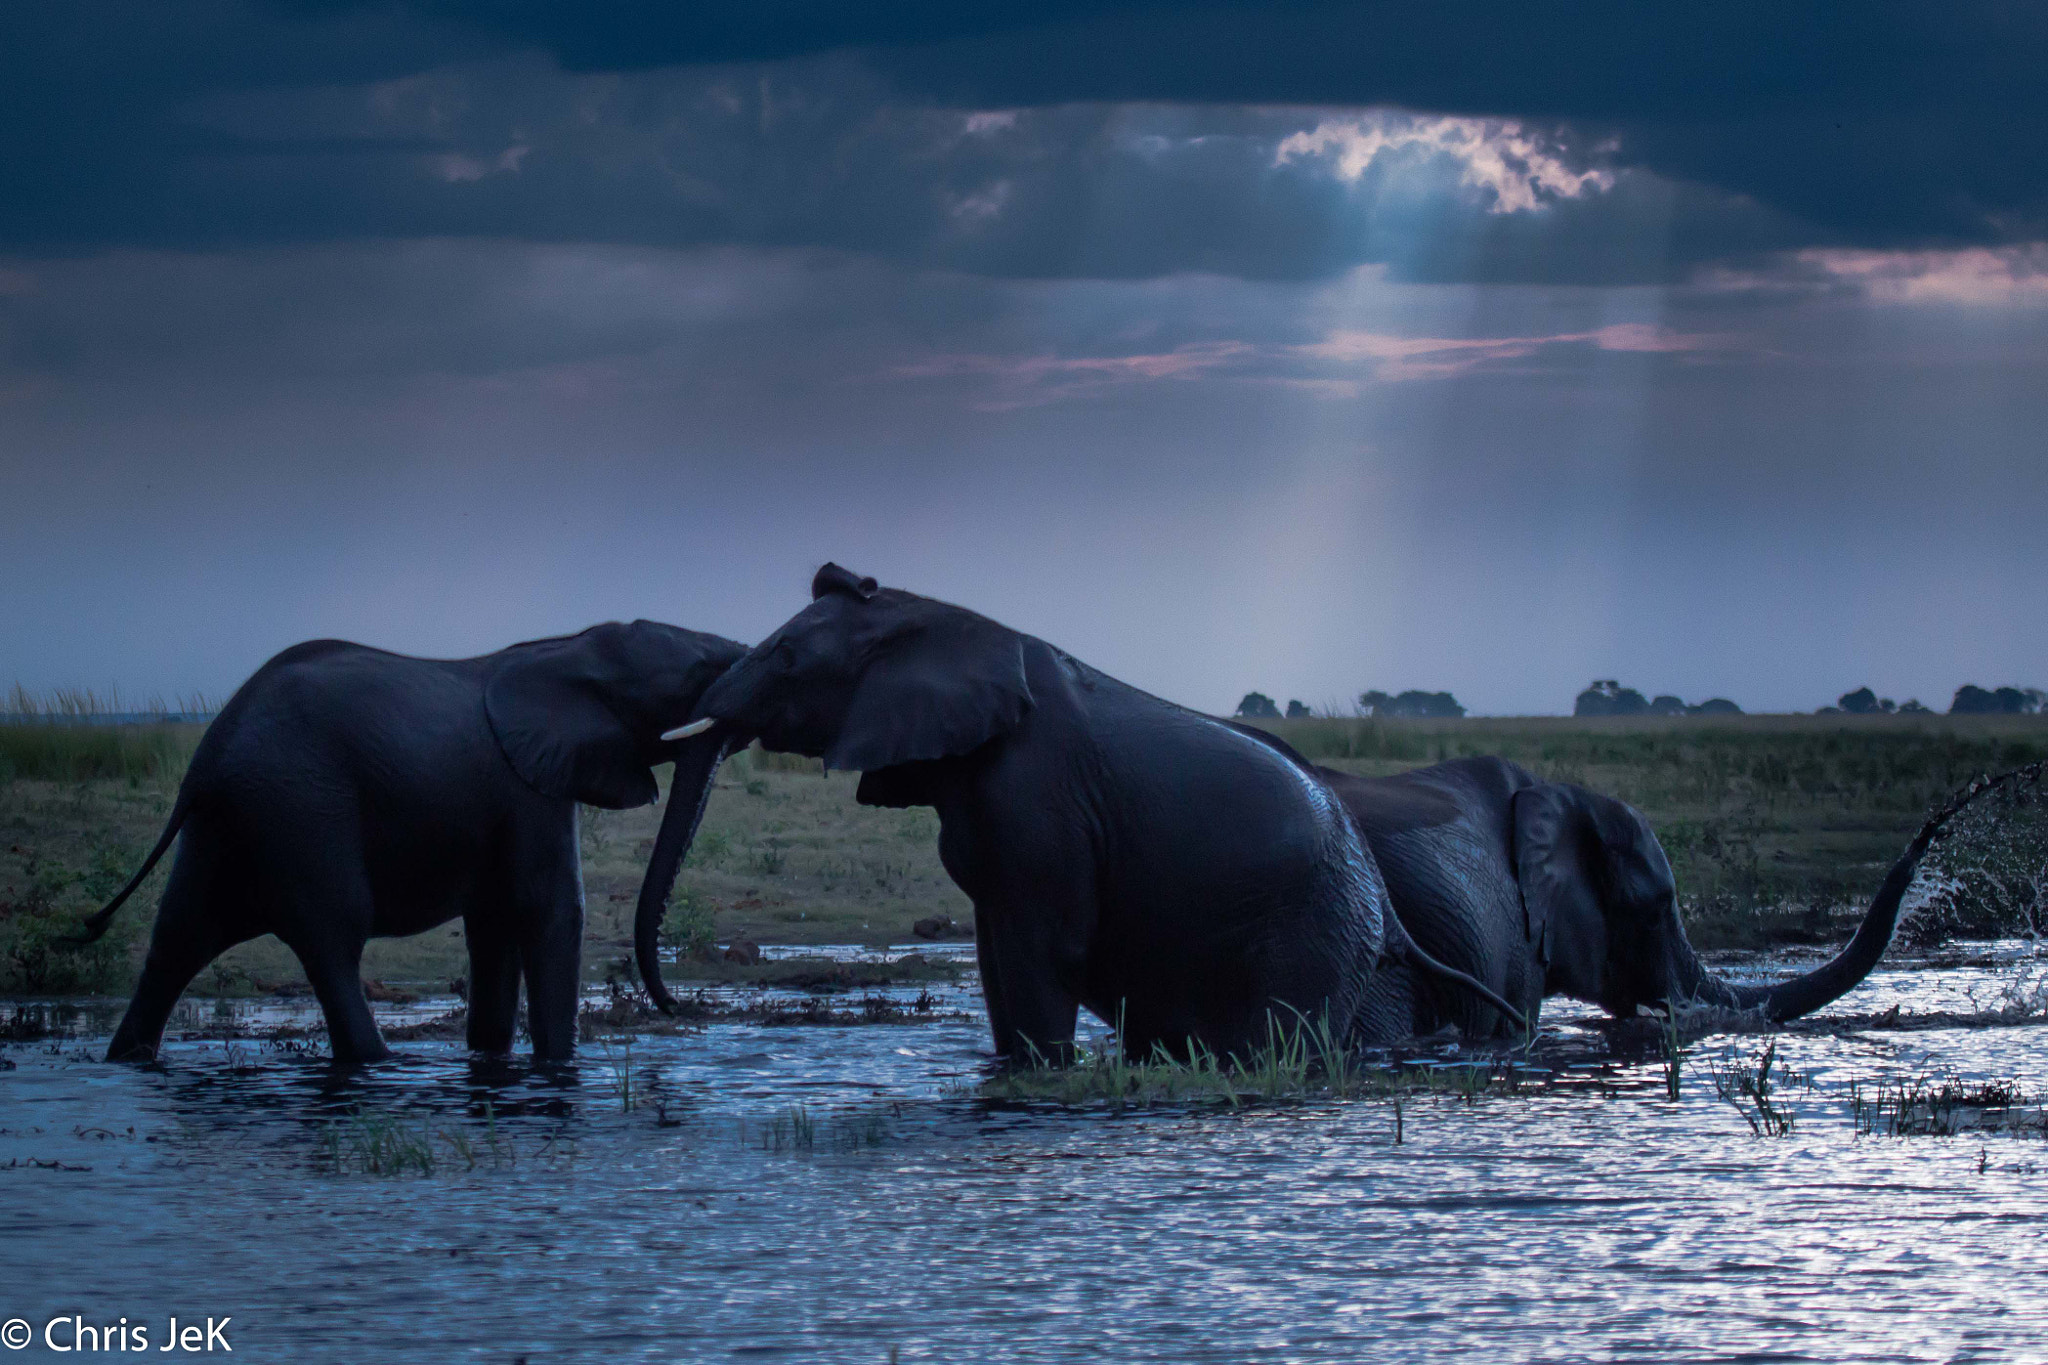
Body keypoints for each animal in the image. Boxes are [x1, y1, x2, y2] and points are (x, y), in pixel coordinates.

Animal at [84, 621, 746, 1064]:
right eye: (696, 675)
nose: (678, 1008)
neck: (568, 647)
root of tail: (204, 761)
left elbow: (495, 924)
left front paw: (490, 1061)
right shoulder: (528, 788)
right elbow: (552, 910)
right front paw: (558, 1066)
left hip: (226, 825)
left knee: (177, 940)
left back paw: (127, 1060)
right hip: (300, 809)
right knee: (332, 941)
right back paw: (376, 1063)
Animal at [632, 563, 1520, 1063]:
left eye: (785, 657)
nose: (683, 1008)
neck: (939, 616)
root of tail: (1383, 902)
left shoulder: (1039, 799)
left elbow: (1039, 952)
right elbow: (994, 955)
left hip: (1312, 931)